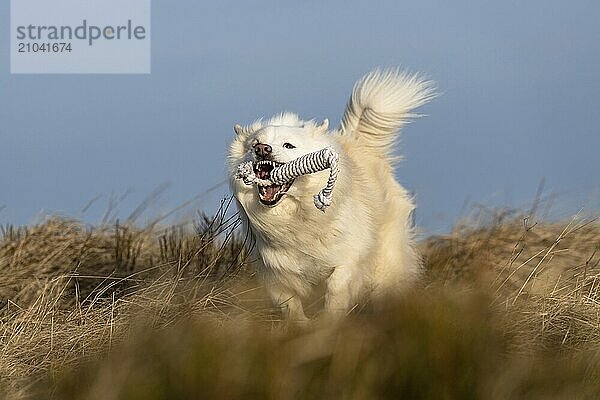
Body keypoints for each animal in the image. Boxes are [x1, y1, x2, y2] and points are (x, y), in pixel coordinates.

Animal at [227, 67, 434, 320]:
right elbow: (289, 303)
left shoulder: (349, 257)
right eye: (254, 144)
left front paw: (330, 320)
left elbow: (337, 285)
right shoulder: (274, 271)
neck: (298, 217)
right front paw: (302, 325)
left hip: (385, 263)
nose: (261, 150)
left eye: (288, 146)